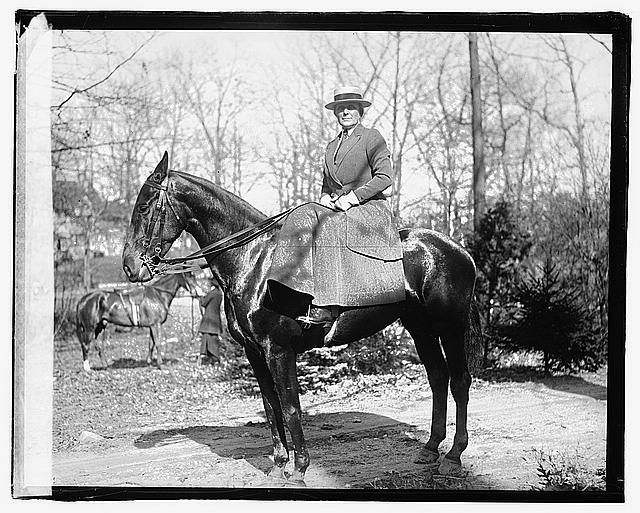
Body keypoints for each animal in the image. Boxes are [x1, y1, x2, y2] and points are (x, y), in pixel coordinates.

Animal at [121, 152, 480, 484]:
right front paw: (278, 466)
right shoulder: (255, 354)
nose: (129, 266)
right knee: (438, 378)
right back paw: (430, 448)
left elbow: (291, 407)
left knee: (460, 380)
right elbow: (271, 407)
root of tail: (457, 248)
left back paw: (453, 456)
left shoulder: (279, 351)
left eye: (145, 206)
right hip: (420, 329)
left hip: (450, 325)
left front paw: (299, 470)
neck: (255, 261)